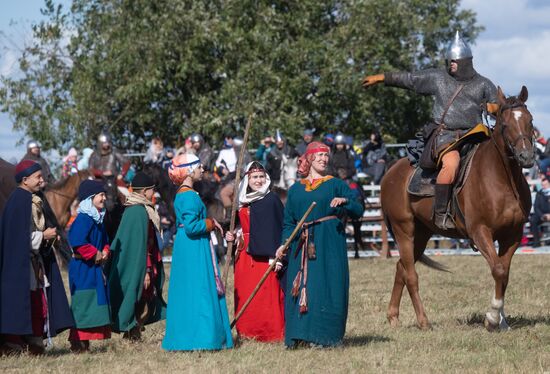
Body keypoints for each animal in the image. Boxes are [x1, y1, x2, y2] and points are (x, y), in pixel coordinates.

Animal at [384, 86, 536, 332]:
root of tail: (390, 173)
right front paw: (492, 317)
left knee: (401, 269)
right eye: (504, 124)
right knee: (411, 275)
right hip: (403, 230)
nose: (527, 156)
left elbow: (504, 273)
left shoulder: (512, 236)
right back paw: (423, 321)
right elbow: (498, 270)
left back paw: (393, 317)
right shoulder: (480, 232)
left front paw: (501, 320)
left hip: (422, 233)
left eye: (530, 121)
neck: (503, 179)